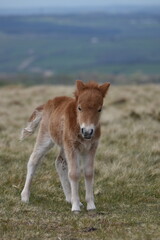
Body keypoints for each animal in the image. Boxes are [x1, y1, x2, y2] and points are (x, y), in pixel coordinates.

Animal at [20, 80, 109, 212]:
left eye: (99, 109)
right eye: (79, 108)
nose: (87, 132)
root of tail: (48, 103)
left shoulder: (91, 148)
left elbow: (88, 173)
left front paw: (90, 205)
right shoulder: (72, 147)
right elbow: (74, 174)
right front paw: (75, 207)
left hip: (64, 145)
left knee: (60, 163)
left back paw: (69, 198)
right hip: (46, 137)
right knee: (33, 160)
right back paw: (25, 196)